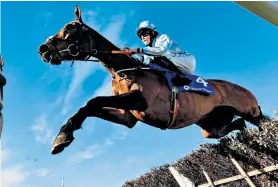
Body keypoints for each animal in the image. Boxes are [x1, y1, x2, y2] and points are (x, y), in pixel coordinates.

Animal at [38, 5, 270, 155]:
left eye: (70, 29)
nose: (43, 49)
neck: (122, 69)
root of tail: (242, 88)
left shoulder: (141, 100)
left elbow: (93, 101)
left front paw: (62, 138)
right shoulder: (128, 116)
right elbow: (90, 107)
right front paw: (62, 136)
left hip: (250, 111)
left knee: (261, 123)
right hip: (211, 127)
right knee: (237, 125)